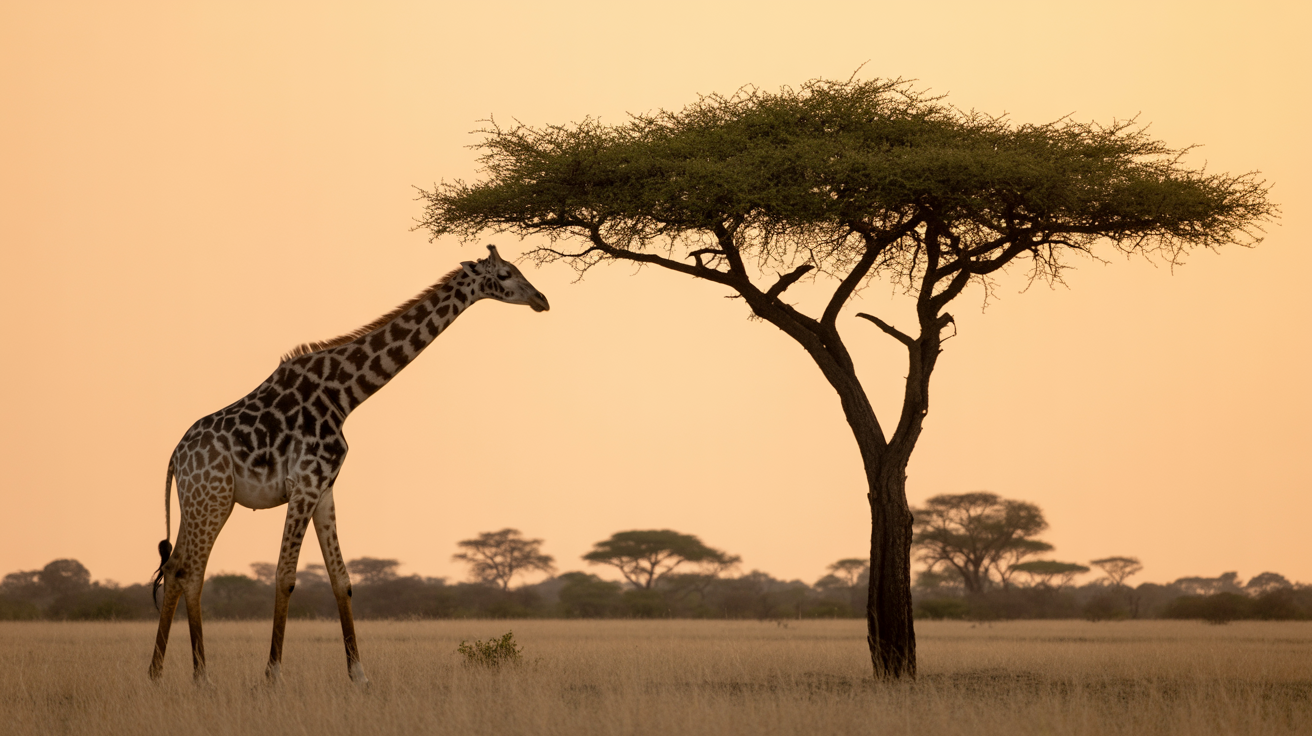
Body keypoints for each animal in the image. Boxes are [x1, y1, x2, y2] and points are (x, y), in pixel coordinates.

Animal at [148, 245, 548, 684]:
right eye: (506, 274)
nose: (541, 300)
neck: (345, 395)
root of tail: (175, 457)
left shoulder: (324, 488)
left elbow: (342, 580)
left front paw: (359, 674)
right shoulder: (305, 483)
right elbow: (285, 576)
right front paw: (273, 675)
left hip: (197, 500)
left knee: (175, 567)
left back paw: (157, 673)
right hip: (214, 498)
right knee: (192, 571)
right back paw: (201, 676)